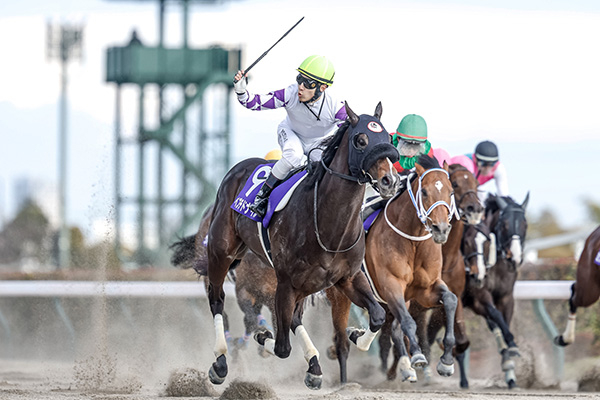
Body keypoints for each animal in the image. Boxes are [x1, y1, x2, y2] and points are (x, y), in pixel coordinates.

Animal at [202, 101, 398, 390]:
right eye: (361, 140)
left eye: (387, 138)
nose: (389, 181)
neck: (327, 224)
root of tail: (241, 167)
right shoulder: (285, 283)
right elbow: (282, 348)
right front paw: (262, 337)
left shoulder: (348, 278)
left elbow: (377, 316)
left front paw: (353, 334)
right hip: (221, 251)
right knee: (217, 300)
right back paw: (220, 362)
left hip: (304, 284)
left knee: (295, 318)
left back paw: (314, 365)